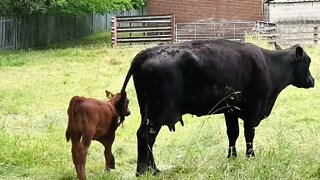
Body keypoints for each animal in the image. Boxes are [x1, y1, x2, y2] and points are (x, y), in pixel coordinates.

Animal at [118, 39, 316, 176]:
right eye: (308, 62)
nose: (312, 81)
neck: (269, 64)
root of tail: (146, 53)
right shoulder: (253, 109)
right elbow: (249, 134)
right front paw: (250, 156)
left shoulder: (231, 109)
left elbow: (233, 133)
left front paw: (232, 156)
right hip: (158, 111)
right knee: (146, 136)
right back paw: (144, 171)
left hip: (147, 110)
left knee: (146, 137)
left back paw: (153, 169)